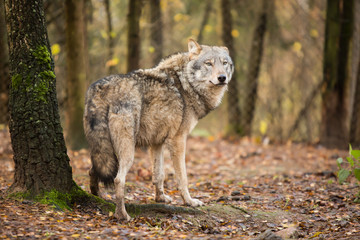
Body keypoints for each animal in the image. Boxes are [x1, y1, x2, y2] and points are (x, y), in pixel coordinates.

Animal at [84, 39, 235, 219]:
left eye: (224, 63)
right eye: (209, 63)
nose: (222, 77)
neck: (186, 83)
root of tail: (101, 87)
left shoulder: (156, 143)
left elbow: (159, 175)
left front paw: (160, 198)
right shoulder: (178, 140)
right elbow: (182, 177)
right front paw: (189, 201)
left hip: (103, 149)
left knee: (93, 170)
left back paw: (99, 198)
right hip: (127, 151)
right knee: (118, 179)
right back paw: (123, 215)